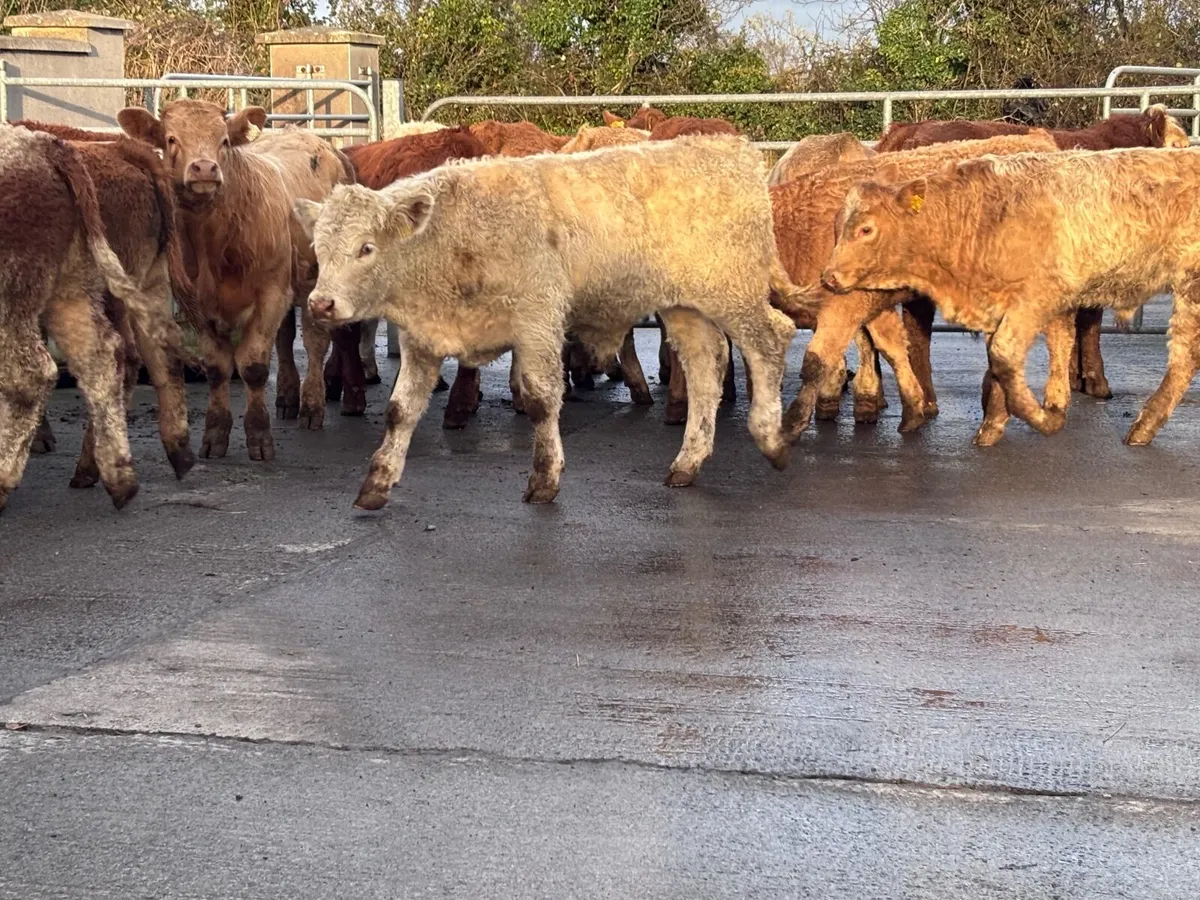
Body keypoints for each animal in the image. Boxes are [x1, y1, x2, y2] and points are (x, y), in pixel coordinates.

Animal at [0, 125, 152, 512]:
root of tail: (43, 145)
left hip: (14, 298)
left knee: (29, 375)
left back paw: (2, 483)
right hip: (70, 290)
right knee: (101, 358)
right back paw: (117, 478)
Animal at [13, 121, 198, 488]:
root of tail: (121, 149)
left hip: (110, 293)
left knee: (118, 359)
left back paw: (91, 469)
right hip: (147, 283)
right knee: (159, 353)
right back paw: (179, 454)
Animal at [117, 100, 350, 461]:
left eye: (224, 140)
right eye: (171, 139)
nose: (204, 168)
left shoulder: (270, 294)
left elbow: (253, 366)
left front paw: (258, 435)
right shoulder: (196, 305)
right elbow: (217, 368)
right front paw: (215, 433)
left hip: (312, 283)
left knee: (314, 342)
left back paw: (312, 404)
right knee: (285, 340)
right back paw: (286, 395)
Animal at [768, 131, 1062, 441]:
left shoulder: (842, 308)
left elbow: (820, 359)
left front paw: (797, 420)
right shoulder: (873, 304)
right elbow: (890, 346)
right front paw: (910, 408)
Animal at [819, 147, 1200, 446]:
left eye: (866, 229)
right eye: (835, 227)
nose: (828, 277)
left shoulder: (1037, 297)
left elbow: (1003, 355)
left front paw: (1042, 418)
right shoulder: (997, 304)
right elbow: (998, 362)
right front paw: (993, 426)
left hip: (1190, 286)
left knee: (1184, 357)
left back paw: (1143, 426)